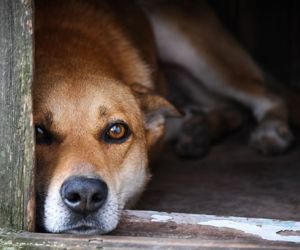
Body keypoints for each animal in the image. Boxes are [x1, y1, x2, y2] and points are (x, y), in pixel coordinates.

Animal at [32, 0, 292, 234]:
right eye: (38, 132)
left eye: (116, 131)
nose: (85, 194)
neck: (65, 55)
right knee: (230, 108)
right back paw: (198, 132)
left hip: (190, 48)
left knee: (269, 96)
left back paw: (271, 130)